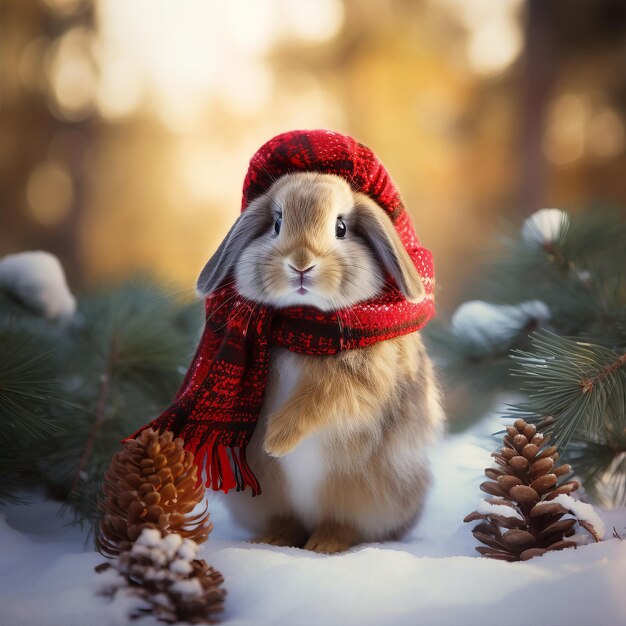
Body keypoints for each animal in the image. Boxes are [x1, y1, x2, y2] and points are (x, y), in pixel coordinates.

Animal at [196, 171, 444, 552]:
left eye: (341, 227)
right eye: (277, 223)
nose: (301, 263)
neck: (305, 320)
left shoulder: (358, 385)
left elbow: (318, 402)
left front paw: (276, 442)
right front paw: (271, 445)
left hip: (365, 493)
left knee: (342, 522)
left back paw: (323, 544)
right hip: (271, 499)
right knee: (287, 519)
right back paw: (271, 540)